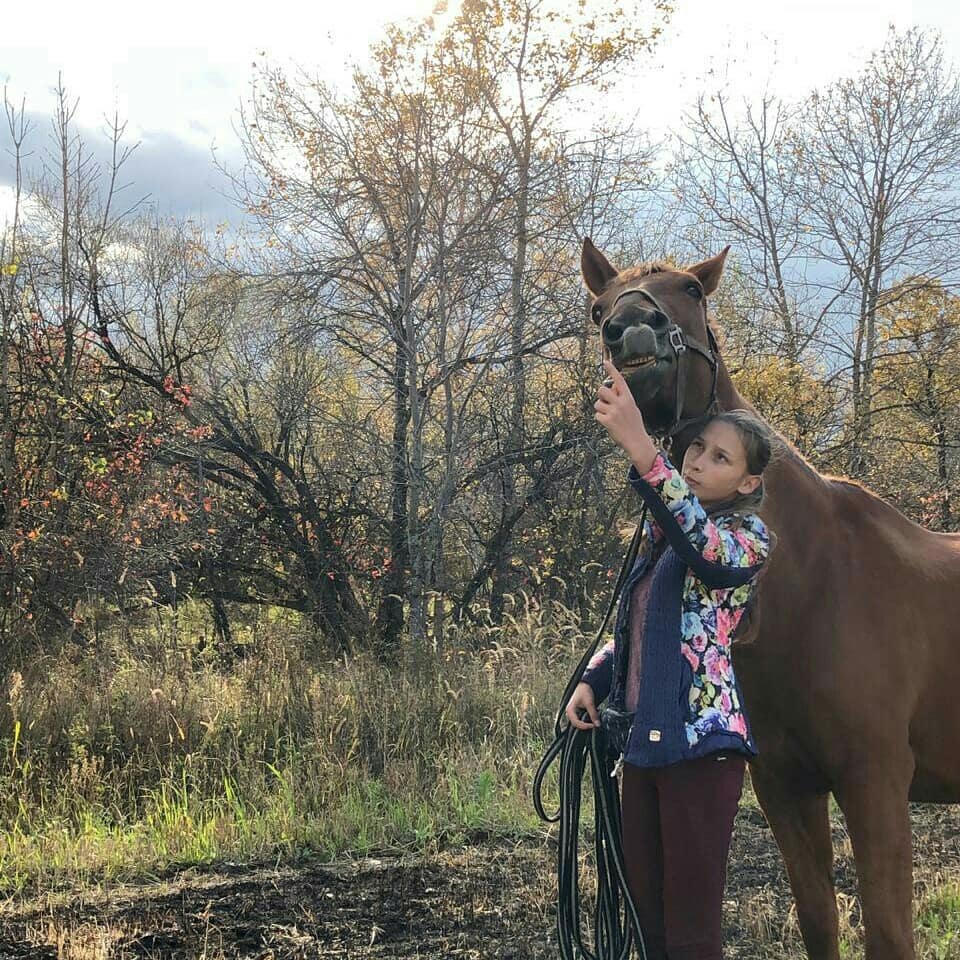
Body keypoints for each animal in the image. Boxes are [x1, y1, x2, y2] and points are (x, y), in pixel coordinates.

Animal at [580, 237, 960, 960]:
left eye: (691, 292)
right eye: (597, 307)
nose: (632, 331)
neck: (816, 583)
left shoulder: (876, 784)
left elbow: (888, 933)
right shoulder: (785, 786)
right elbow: (819, 921)